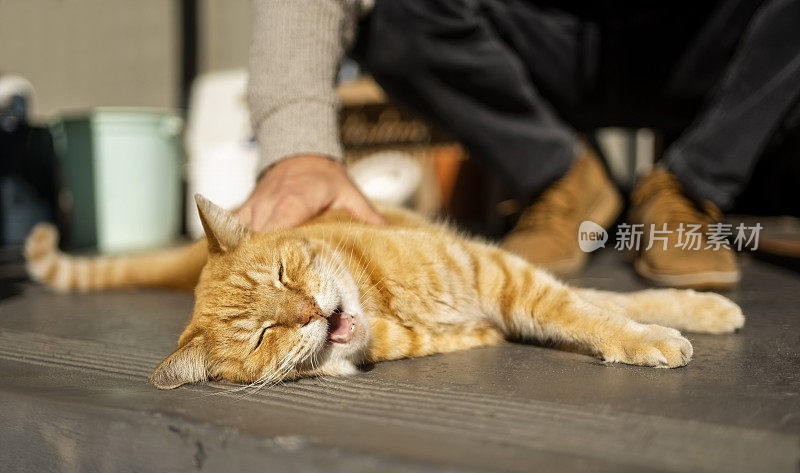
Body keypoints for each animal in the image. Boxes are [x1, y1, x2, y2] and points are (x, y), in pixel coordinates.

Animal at [25, 195, 744, 388]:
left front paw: (667, 323)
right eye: (263, 336)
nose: (312, 311)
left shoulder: (503, 274)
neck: (389, 307)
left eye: (283, 274)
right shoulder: (505, 304)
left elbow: (596, 310)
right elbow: (586, 311)